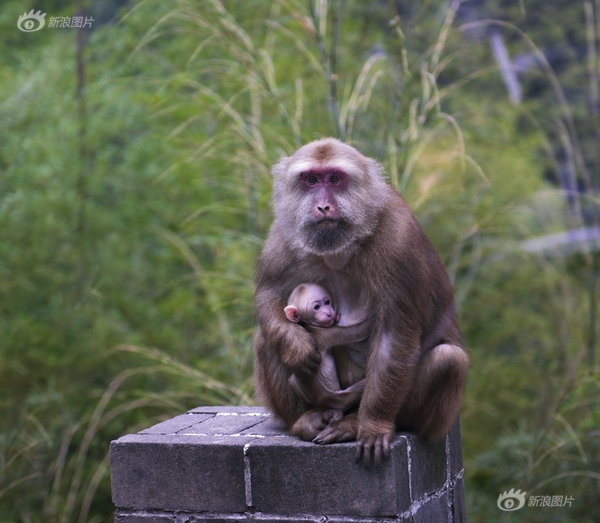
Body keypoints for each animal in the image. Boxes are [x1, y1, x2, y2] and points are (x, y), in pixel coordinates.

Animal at [284, 284, 366, 416]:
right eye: (317, 307)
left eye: (327, 302)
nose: (329, 313)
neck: (310, 325)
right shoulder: (325, 335)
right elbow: (358, 331)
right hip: (340, 398)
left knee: (293, 379)